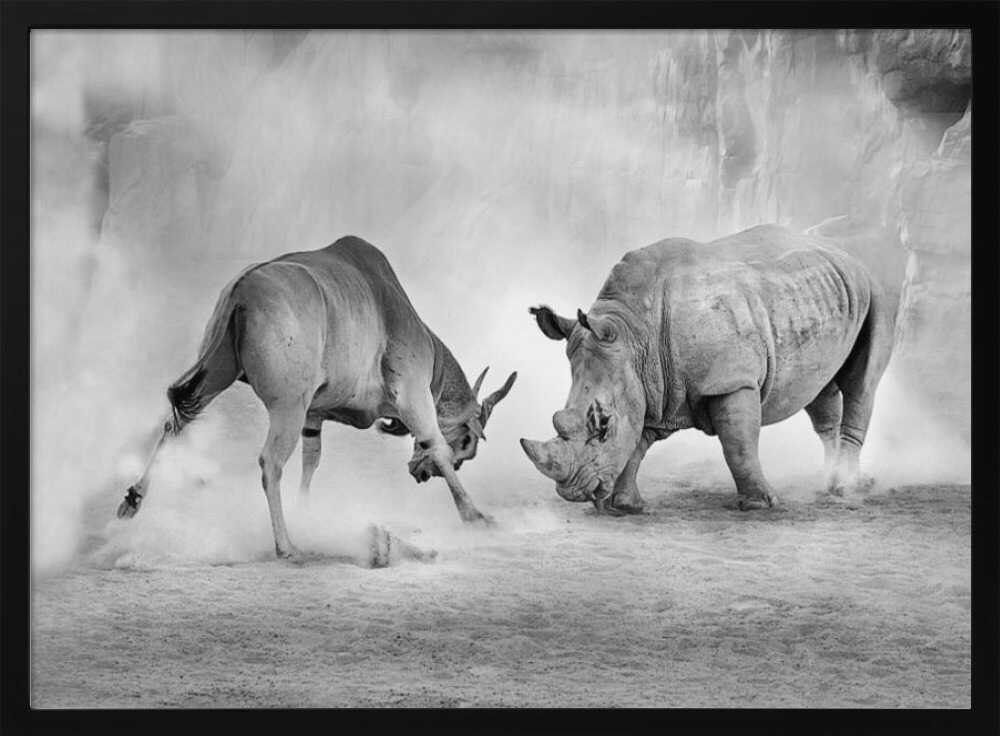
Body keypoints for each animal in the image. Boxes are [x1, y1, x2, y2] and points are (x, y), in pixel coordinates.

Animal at [116, 236, 516, 559]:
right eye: (466, 443)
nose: (420, 474)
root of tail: (242, 291)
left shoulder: (313, 416)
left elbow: (312, 461)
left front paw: (306, 513)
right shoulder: (412, 398)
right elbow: (437, 445)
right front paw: (476, 515)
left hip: (216, 380)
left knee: (175, 424)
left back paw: (133, 500)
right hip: (287, 407)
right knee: (270, 463)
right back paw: (286, 545)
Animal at [520, 223, 900, 513]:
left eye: (603, 425)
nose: (572, 493)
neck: (635, 334)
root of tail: (843, 251)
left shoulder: (731, 381)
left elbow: (739, 446)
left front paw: (762, 505)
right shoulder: (652, 385)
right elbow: (636, 444)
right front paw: (626, 506)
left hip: (875, 291)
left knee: (862, 384)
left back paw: (844, 488)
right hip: (821, 293)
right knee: (820, 389)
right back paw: (834, 480)